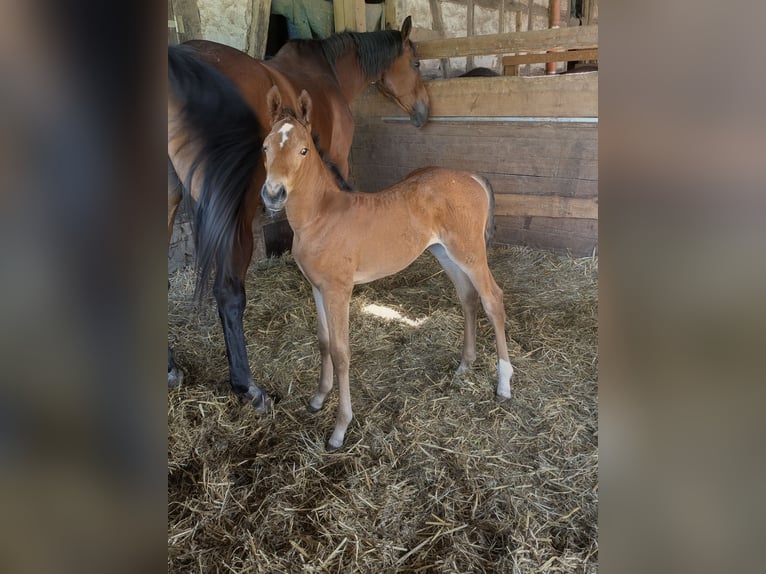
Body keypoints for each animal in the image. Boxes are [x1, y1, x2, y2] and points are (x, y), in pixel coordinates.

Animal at [167, 17, 430, 412]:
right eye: (415, 63)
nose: (425, 111)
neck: (328, 72)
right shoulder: (338, 158)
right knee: (228, 292)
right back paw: (248, 386)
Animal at [261, 87, 513, 450]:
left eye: (303, 150)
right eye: (265, 147)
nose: (273, 194)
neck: (320, 216)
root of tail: (471, 176)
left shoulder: (339, 290)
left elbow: (341, 351)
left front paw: (340, 428)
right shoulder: (316, 287)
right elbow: (323, 341)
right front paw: (318, 398)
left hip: (471, 252)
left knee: (493, 299)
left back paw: (504, 383)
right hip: (445, 253)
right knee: (468, 298)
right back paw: (464, 366)